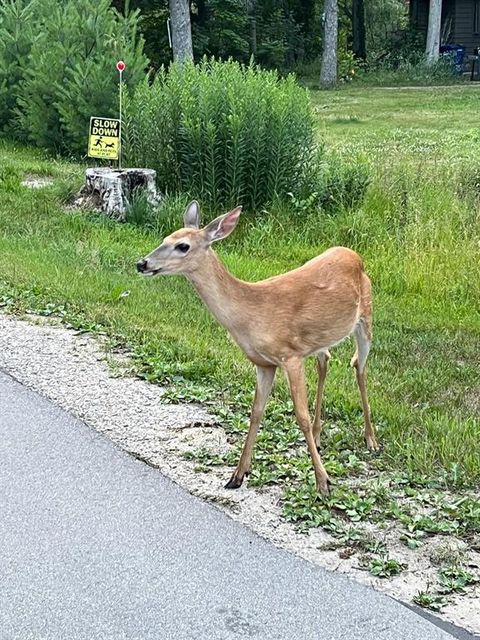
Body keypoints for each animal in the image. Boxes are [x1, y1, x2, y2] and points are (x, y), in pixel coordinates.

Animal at [136, 200, 378, 496]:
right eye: (164, 239)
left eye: (183, 246)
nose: (142, 263)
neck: (252, 312)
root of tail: (354, 255)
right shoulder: (264, 363)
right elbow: (255, 413)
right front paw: (237, 475)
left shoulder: (290, 356)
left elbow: (301, 416)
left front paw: (323, 481)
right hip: (322, 338)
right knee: (326, 361)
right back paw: (319, 436)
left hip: (366, 319)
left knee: (359, 367)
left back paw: (371, 440)